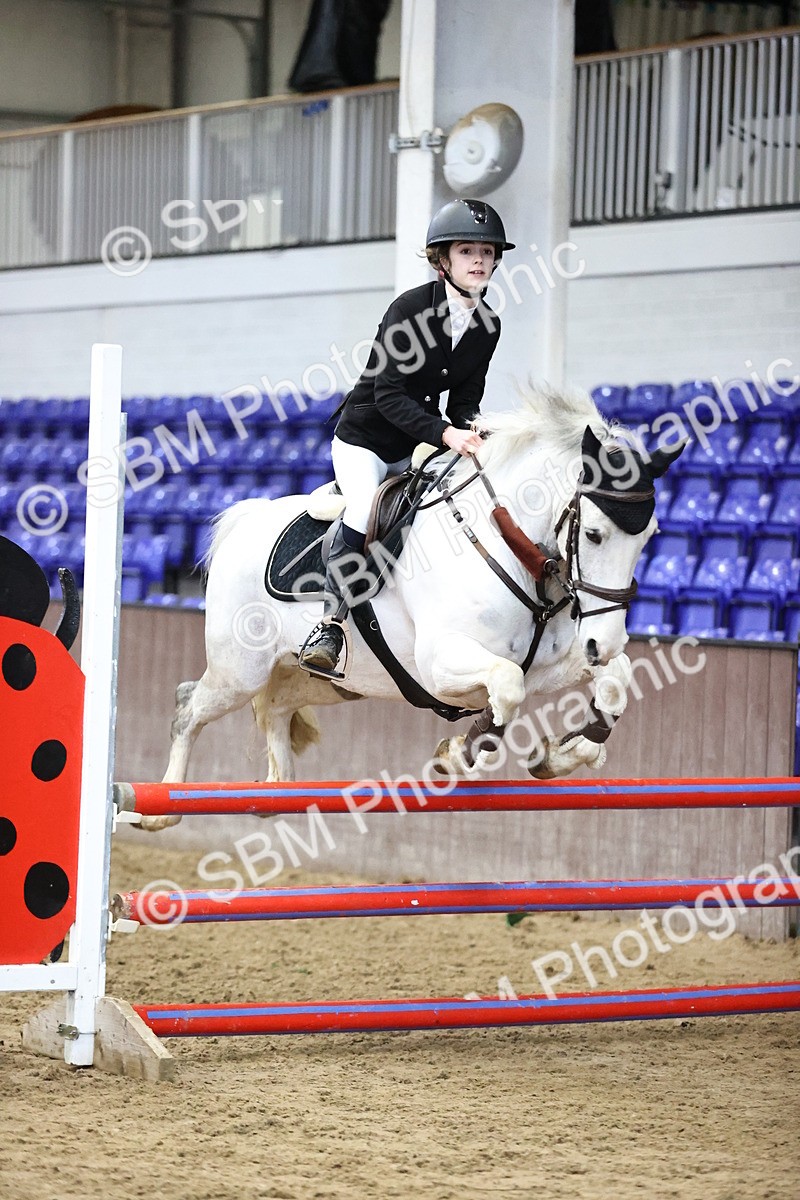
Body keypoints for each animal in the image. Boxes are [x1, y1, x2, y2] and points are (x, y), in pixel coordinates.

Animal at [146, 386, 684, 831]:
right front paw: (459, 755)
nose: (601, 641)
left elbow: (614, 680)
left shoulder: (547, 664)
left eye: (649, 538)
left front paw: (561, 755)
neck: (503, 541)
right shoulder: (440, 665)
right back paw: (163, 806)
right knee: (187, 706)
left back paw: (276, 790)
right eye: (593, 534)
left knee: (275, 705)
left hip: (338, 682)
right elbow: (507, 687)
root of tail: (245, 519)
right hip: (240, 670)